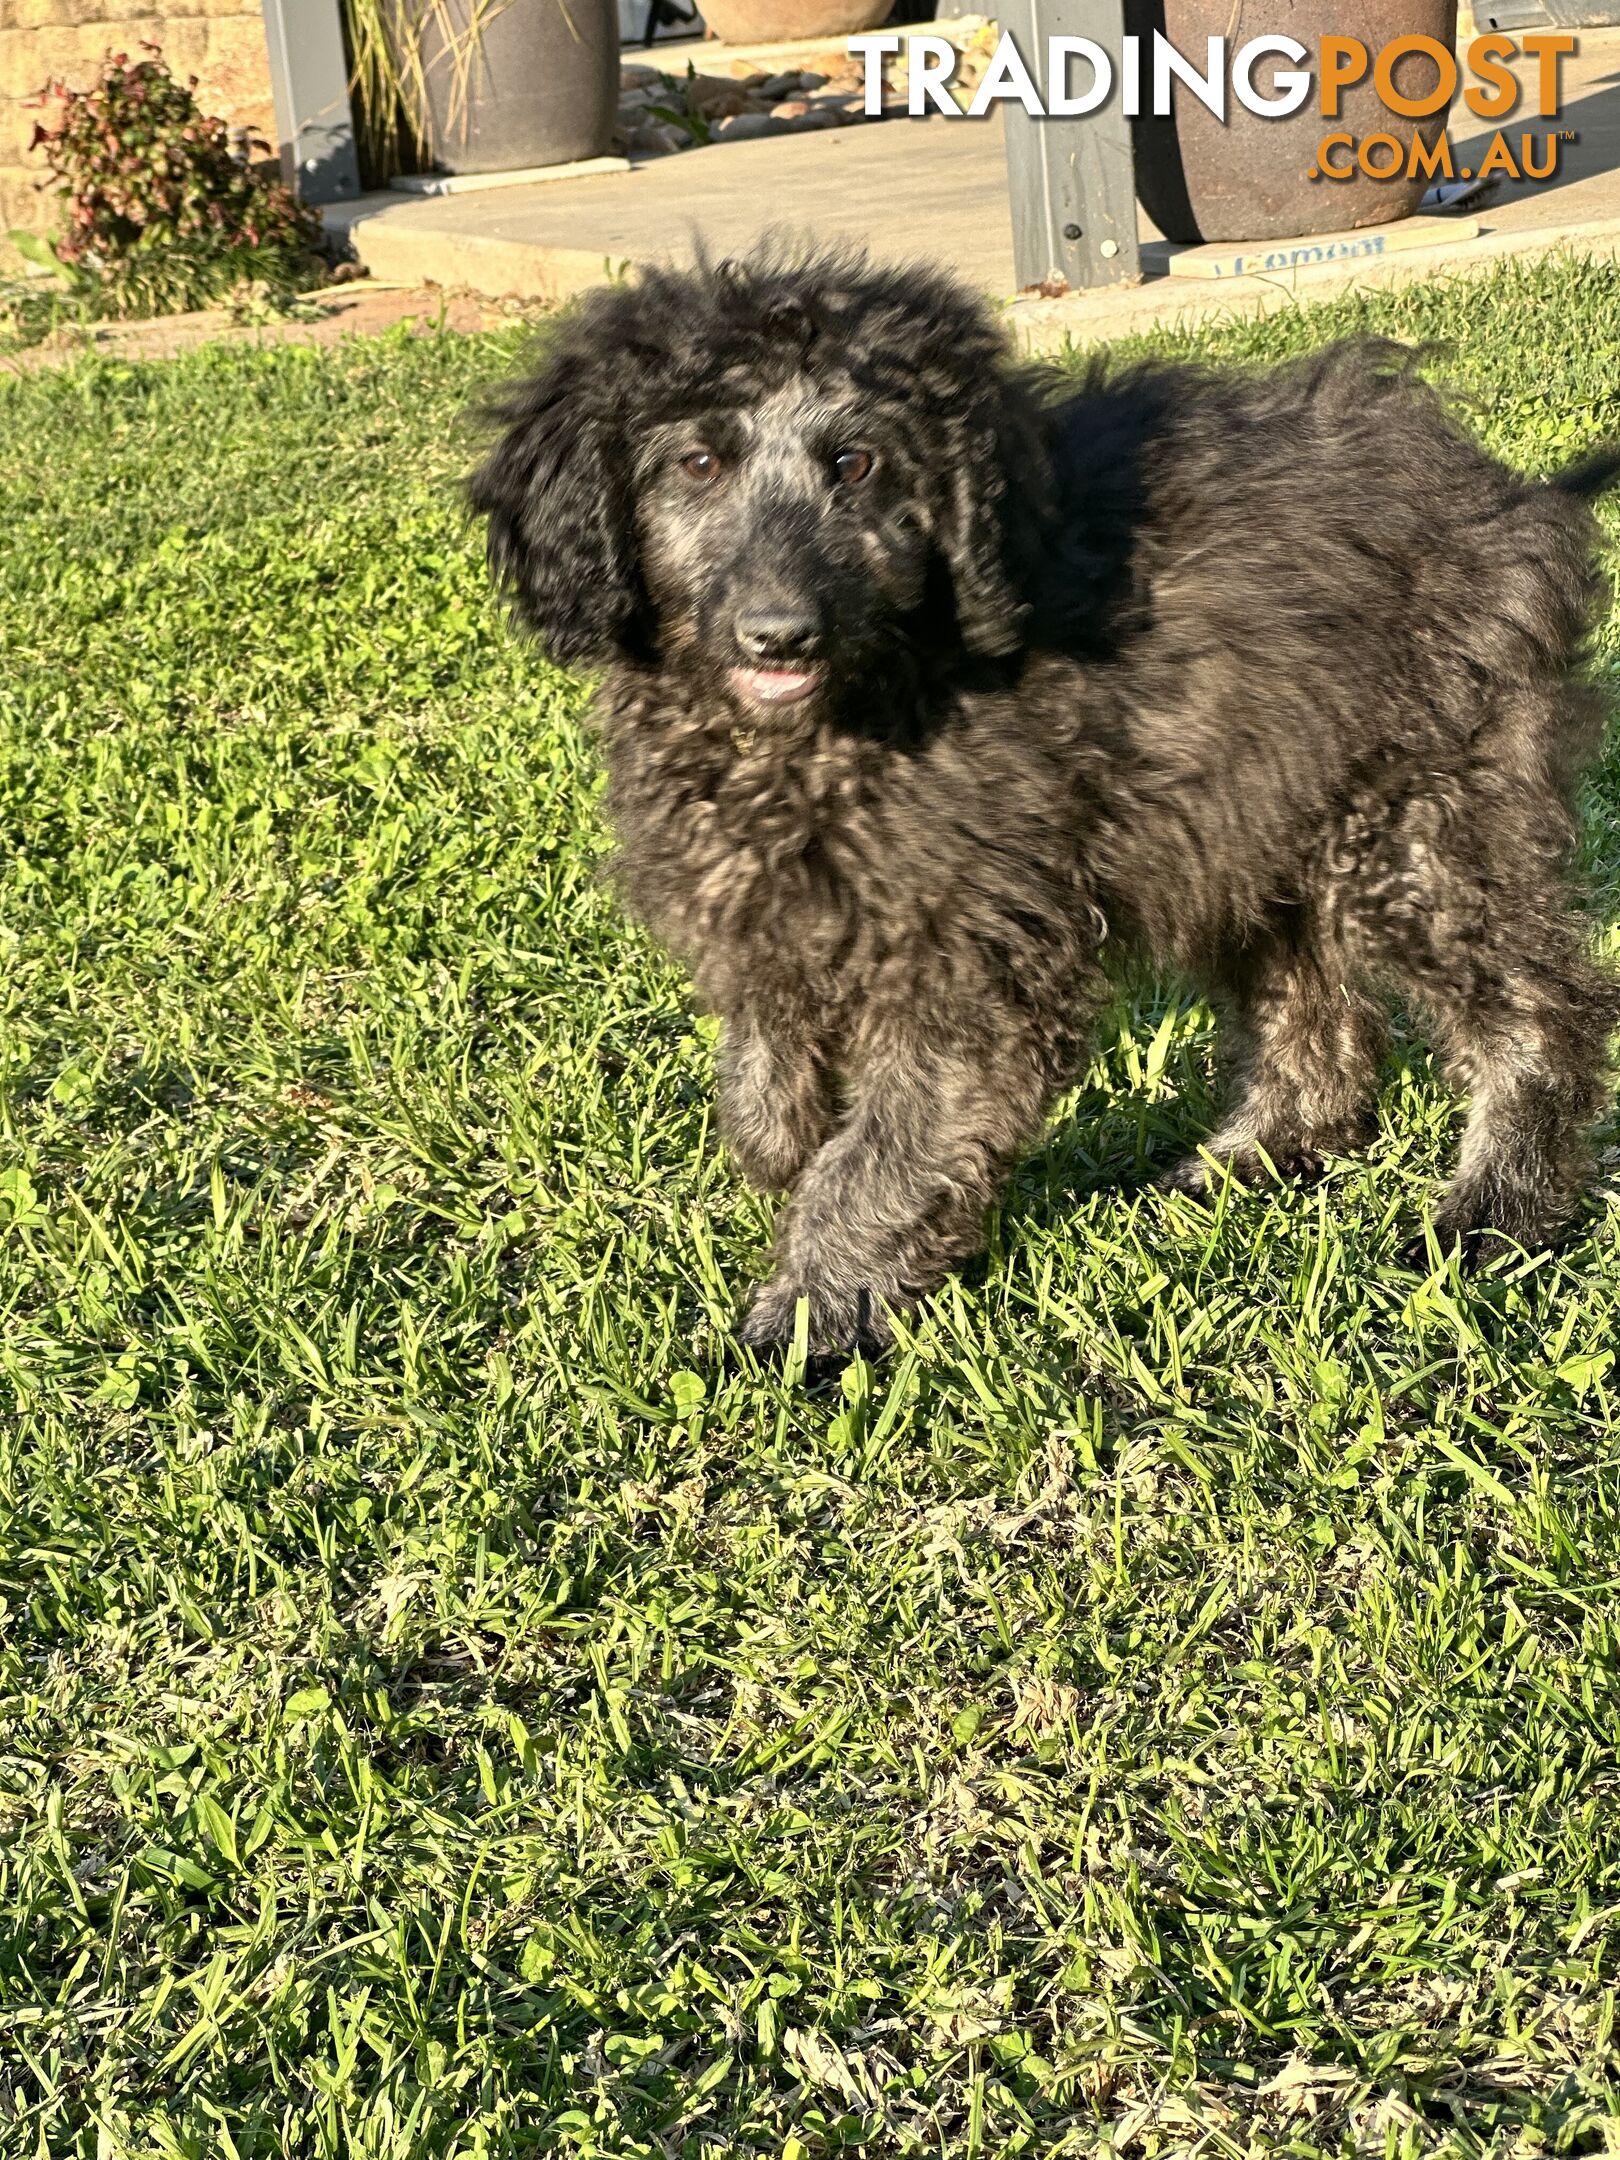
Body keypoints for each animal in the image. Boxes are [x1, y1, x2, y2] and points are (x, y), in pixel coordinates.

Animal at [468, 252, 1620, 1356]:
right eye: (696, 463)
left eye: (856, 463)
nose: (780, 633)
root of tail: (1514, 495)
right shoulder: (773, 903)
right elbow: (765, 1060)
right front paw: (781, 1142)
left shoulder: (970, 954)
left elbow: (882, 1153)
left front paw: (810, 1311)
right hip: (1248, 824)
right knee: (1317, 1016)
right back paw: (1249, 1162)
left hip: (1417, 818)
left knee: (1538, 1009)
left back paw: (1498, 1211)